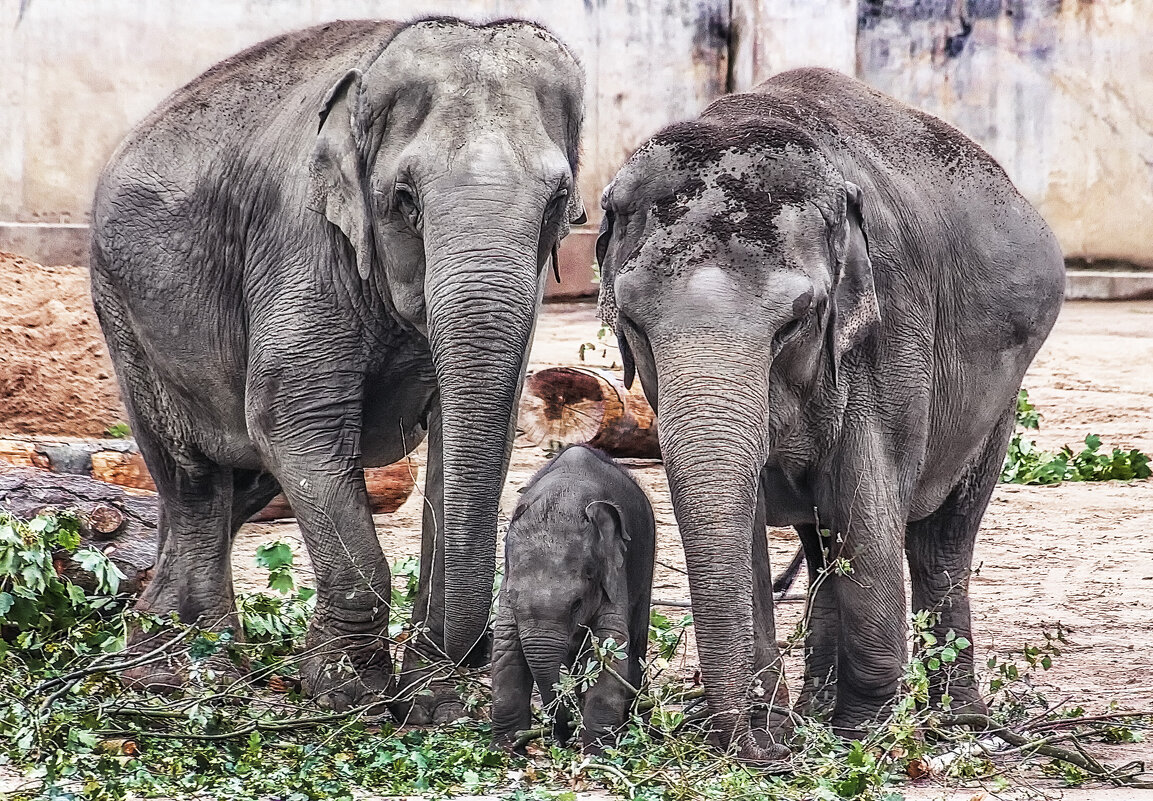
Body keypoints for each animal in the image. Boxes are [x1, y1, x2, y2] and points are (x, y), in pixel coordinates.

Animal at [92, 17, 585, 719]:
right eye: (405, 199)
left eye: (559, 202)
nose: (461, 671)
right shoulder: (300, 239)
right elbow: (298, 425)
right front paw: (350, 694)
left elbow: (463, 433)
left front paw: (436, 706)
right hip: (123, 308)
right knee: (194, 473)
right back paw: (186, 677)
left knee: (238, 481)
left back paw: (155, 651)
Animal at [488, 444, 659, 751]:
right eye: (515, 601)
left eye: (577, 603)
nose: (561, 736)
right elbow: (506, 646)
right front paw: (503, 750)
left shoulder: (614, 570)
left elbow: (610, 645)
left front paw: (598, 753)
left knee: (636, 639)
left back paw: (636, 725)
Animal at [599, 67, 1065, 756]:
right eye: (631, 321)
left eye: (796, 321)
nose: (757, 752)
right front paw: (779, 733)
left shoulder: (889, 335)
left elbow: (866, 512)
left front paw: (859, 737)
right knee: (822, 544)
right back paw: (819, 709)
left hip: (1000, 395)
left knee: (940, 539)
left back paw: (956, 724)